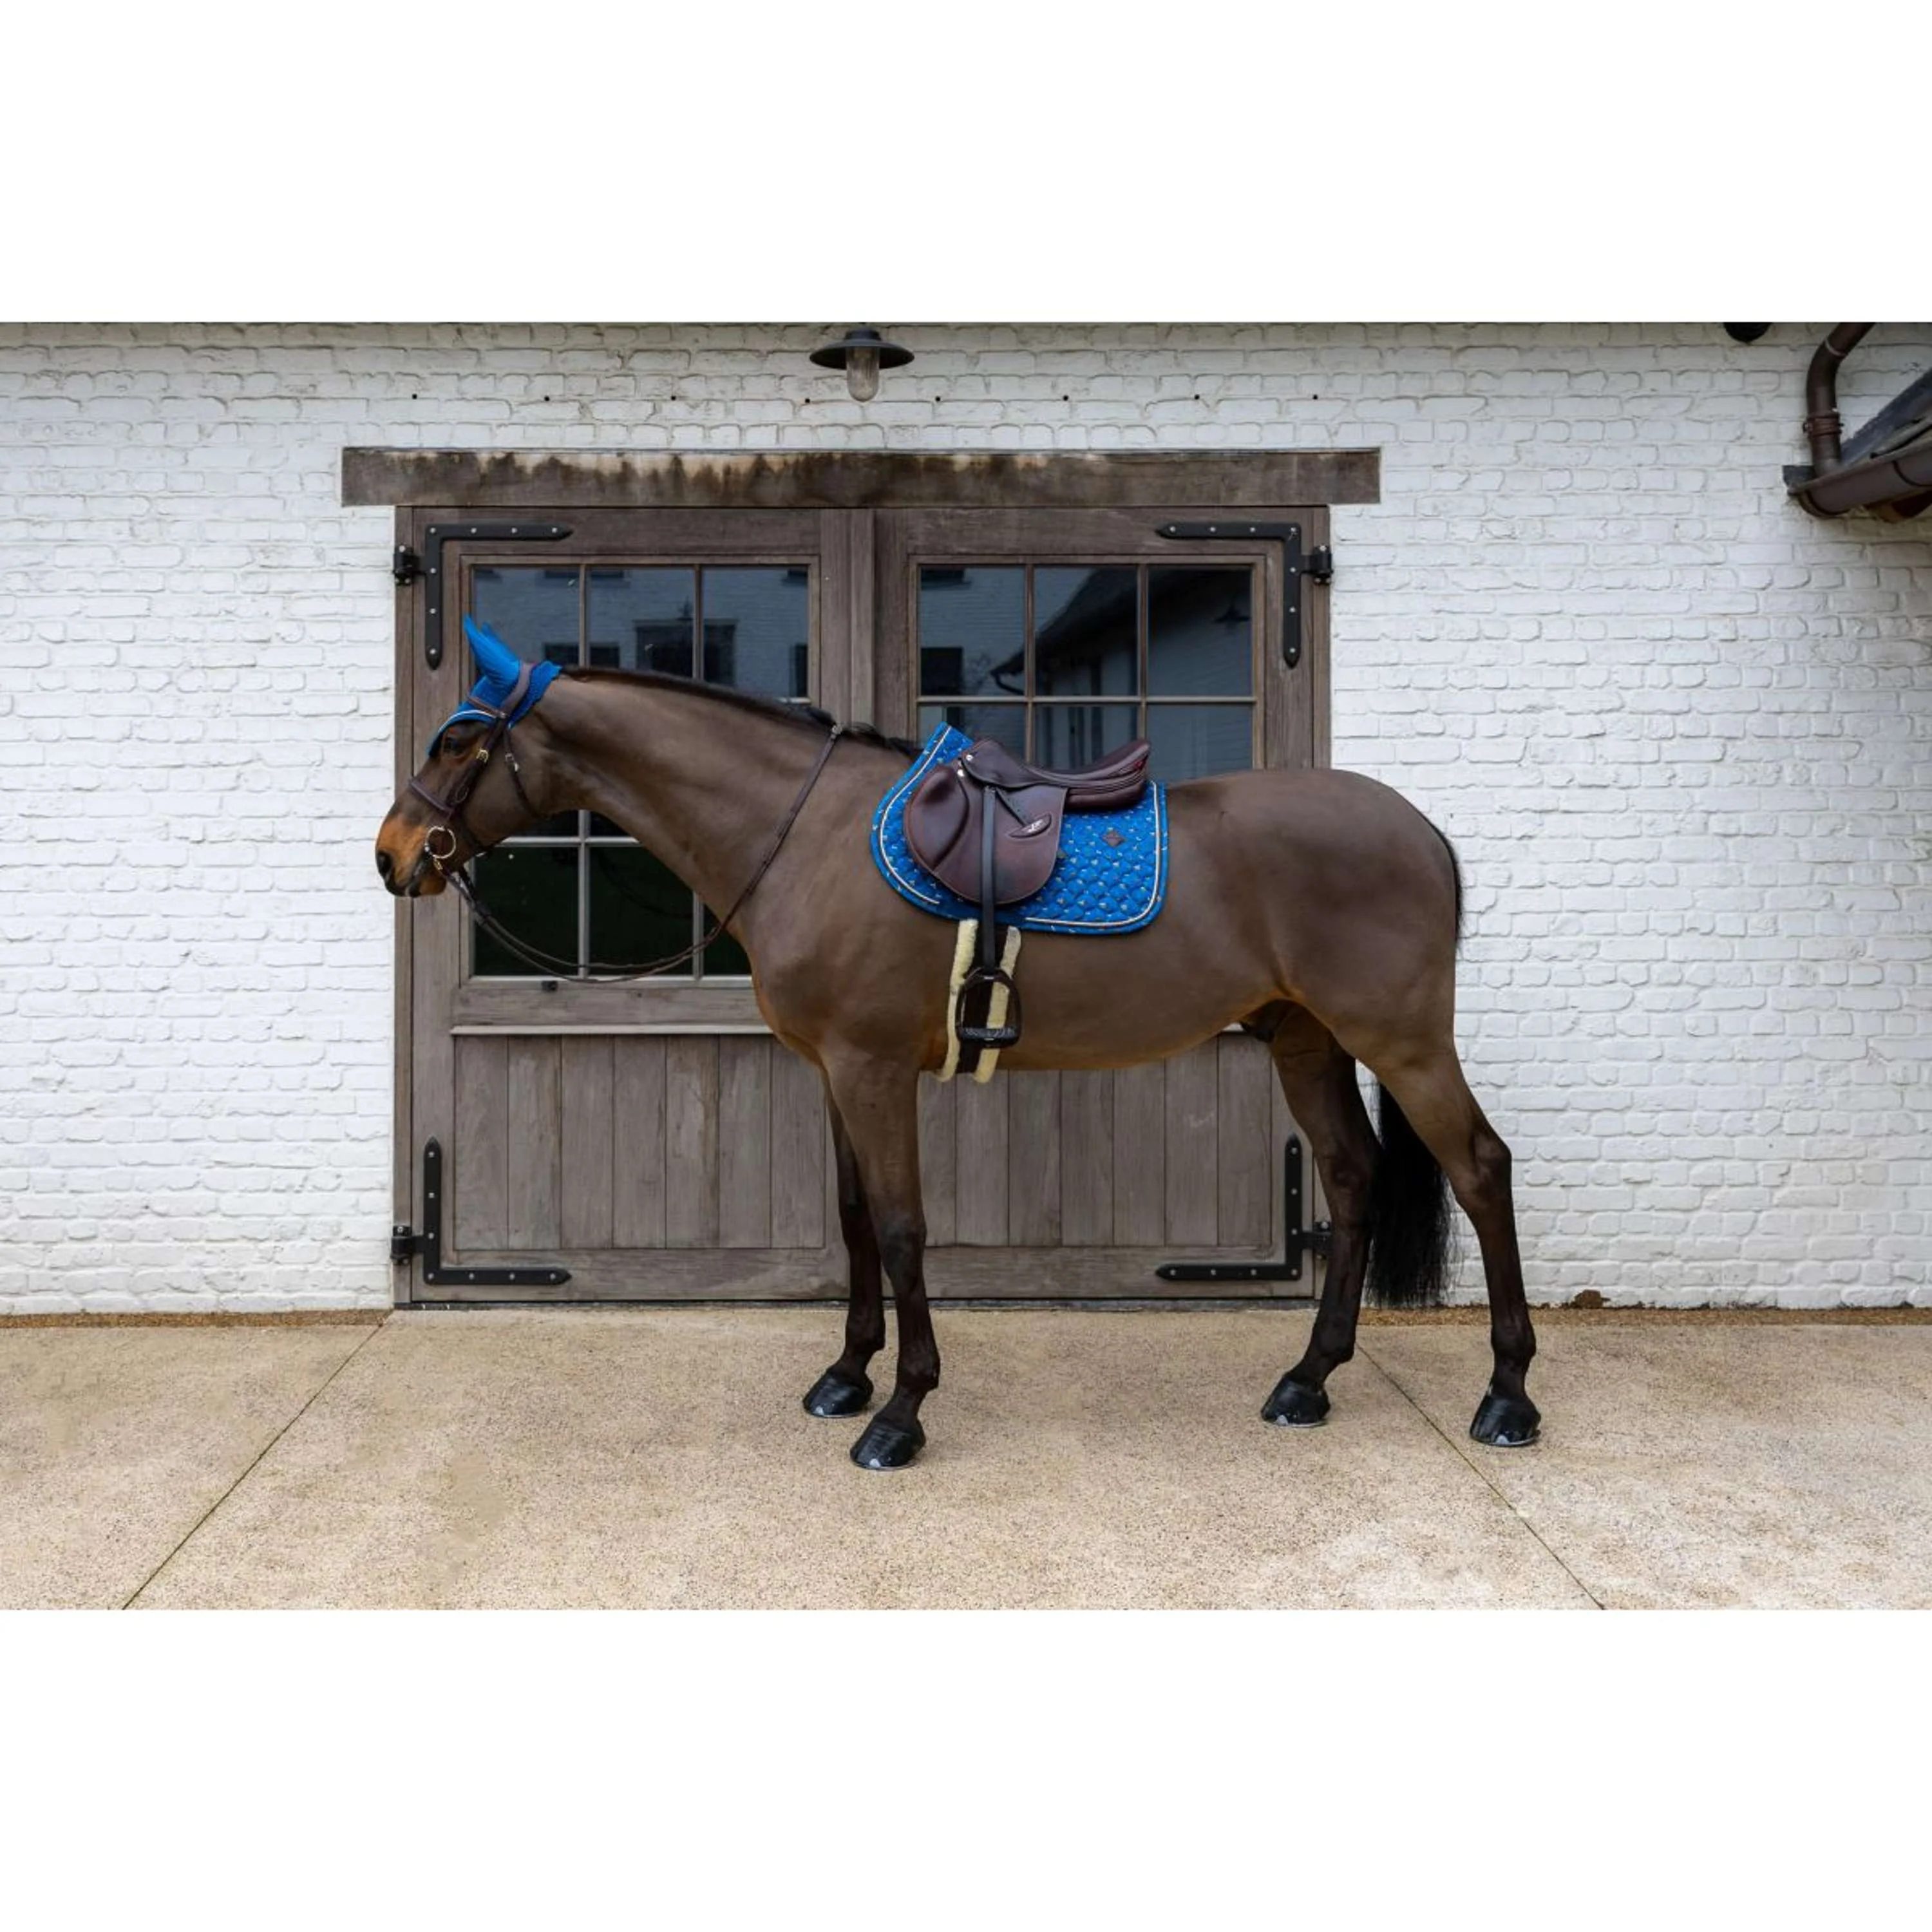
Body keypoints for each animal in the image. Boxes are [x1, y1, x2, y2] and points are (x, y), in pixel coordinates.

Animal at [375, 636, 1539, 1470]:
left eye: (457, 741)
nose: (393, 856)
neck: (805, 835)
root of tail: (1419, 829)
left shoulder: (873, 1071)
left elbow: (900, 1230)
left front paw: (900, 1414)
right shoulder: (832, 1073)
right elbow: (853, 1222)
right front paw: (846, 1375)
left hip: (1403, 1044)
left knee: (1482, 1169)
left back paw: (1507, 1396)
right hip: (1308, 1042)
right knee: (1349, 1176)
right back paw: (1309, 1382)